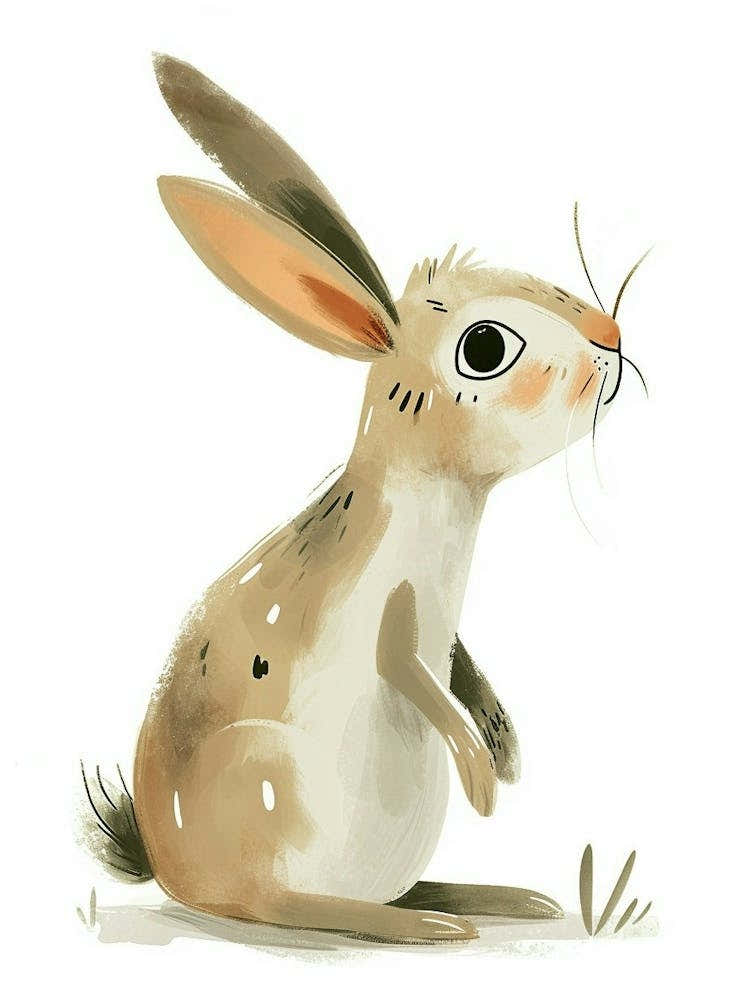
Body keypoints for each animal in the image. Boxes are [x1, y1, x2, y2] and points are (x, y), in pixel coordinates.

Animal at [85, 53, 645, 944]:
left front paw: (505, 751)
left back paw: (494, 898)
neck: (434, 501)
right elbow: (411, 673)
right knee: (274, 903)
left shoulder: (447, 630)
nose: (612, 336)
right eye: (483, 347)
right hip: (263, 779)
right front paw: (482, 777)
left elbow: (461, 670)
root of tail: (170, 872)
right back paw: (424, 927)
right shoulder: (397, 614)